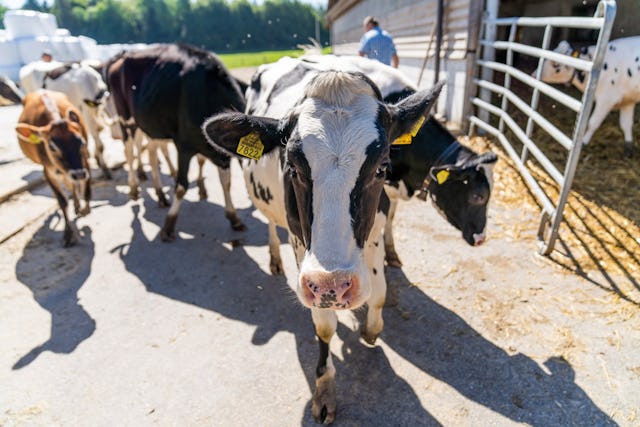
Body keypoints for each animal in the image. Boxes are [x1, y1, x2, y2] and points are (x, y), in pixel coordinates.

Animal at [15, 90, 91, 247]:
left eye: (81, 142)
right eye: (51, 147)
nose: (79, 174)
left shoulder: (85, 161)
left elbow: (86, 188)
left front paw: (85, 209)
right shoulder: (48, 172)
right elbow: (62, 201)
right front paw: (69, 234)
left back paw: (77, 205)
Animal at [106, 43, 247, 240]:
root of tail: (123, 55)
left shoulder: (221, 154)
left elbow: (226, 182)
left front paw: (234, 217)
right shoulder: (184, 146)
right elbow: (181, 186)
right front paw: (169, 225)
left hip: (150, 123)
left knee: (151, 154)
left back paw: (160, 194)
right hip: (125, 117)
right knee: (129, 151)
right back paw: (133, 188)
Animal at [203, 70, 444, 423]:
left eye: (382, 167)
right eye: (292, 166)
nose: (333, 284)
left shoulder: (375, 230)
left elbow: (379, 291)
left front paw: (371, 328)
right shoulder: (302, 251)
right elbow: (325, 326)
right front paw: (325, 388)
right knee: (272, 223)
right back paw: (274, 259)